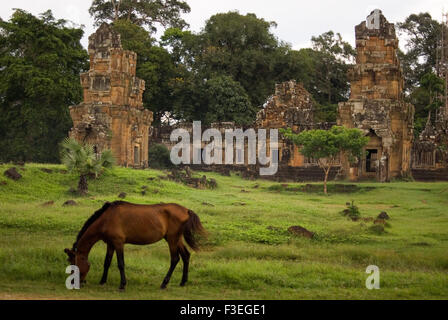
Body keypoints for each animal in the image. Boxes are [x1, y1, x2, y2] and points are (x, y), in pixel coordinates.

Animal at [63, 201, 206, 292]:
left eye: (73, 264)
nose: (73, 283)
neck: (106, 219)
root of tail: (186, 210)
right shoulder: (110, 244)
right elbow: (107, 262)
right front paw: (102, 281)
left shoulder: (118, 243)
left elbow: (120, 264)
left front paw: (122, 285)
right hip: (176, 239)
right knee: (186, 256)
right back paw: (183, 282)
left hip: (172, 239)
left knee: (175, 259)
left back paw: (164, 283)